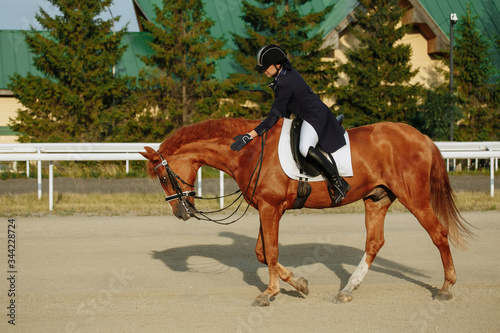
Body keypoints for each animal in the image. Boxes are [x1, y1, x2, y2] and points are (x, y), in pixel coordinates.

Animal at [141, 117, 472, 306]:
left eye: (162, 177)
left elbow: (271, 252)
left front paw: (270, 293)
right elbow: (262, 253)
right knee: (374, 243)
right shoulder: (266, 208)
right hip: (377, 199)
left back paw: (446, 287)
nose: (180, 212)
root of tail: (422, 137)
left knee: (438, 233)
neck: (248, 151)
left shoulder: (271, 208)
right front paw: (299, 284)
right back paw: (347, 289)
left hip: (414, 198)